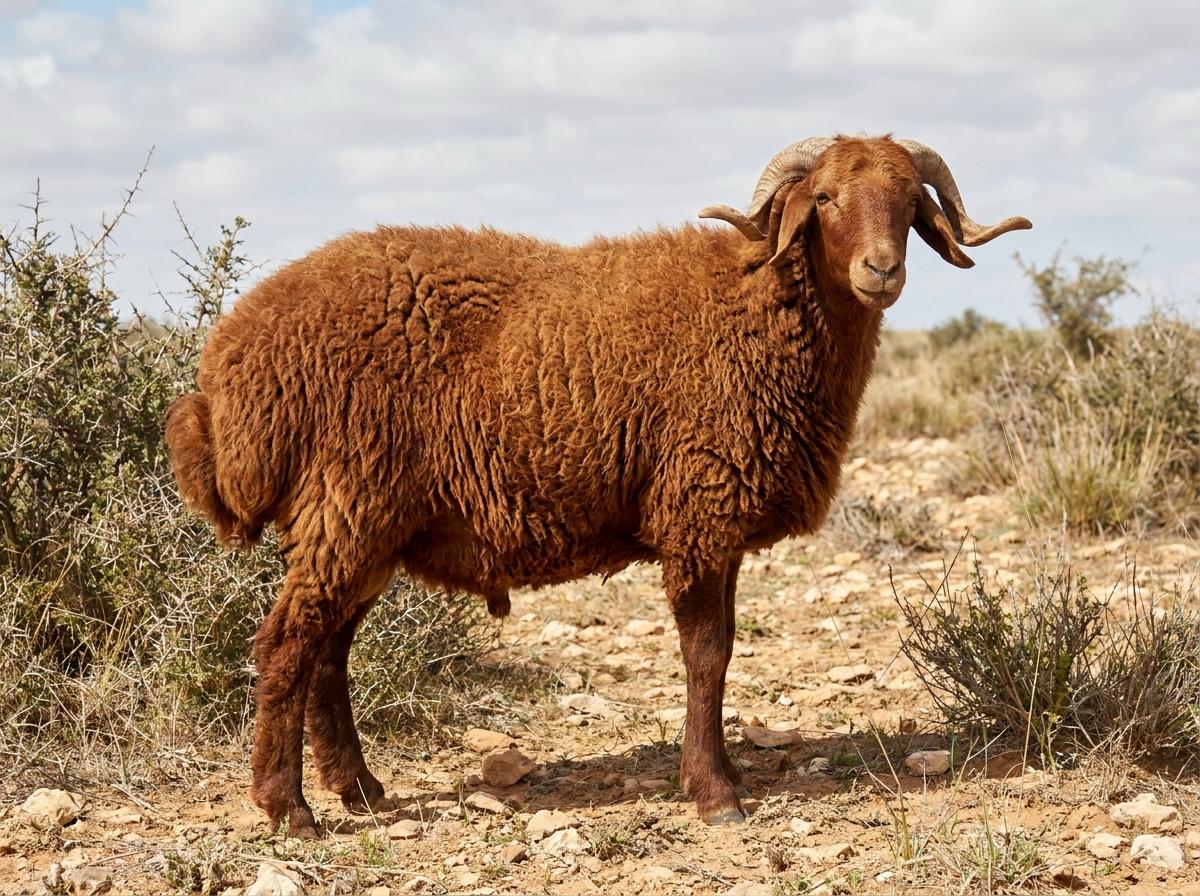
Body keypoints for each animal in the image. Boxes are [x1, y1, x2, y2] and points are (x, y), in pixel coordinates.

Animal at [164, 135, 1031, 836]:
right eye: (822, 198)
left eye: (911, 202)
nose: (880, 269)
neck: (753, 306)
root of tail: (231, 366)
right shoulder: (696, 513)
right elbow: (706, 655)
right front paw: (715, 793)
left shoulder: (718, 526)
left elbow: (723, 652)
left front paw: (723, 774)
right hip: (347, 508)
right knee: (287, 645)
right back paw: (288, 810)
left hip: (359, 527)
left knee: (328, 653)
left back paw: (360, 791)